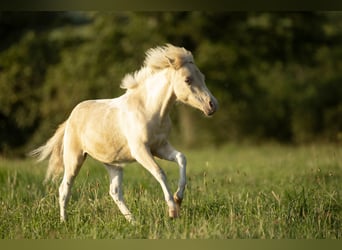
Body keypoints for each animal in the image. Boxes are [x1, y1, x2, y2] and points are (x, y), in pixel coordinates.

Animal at [30, 44, 218, 224]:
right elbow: (159, 172)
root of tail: (70, 118)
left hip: (113, 164)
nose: (212, 105)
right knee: (65, 188)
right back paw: (64, 221)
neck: (149, 110)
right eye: (188, 79)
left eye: (203, 77)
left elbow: (181, 158)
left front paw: (178, 199)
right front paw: (172, 210)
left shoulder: (160, 147)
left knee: (114, 192)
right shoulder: (141, 150)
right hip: (74, 158)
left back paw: (133, 221)